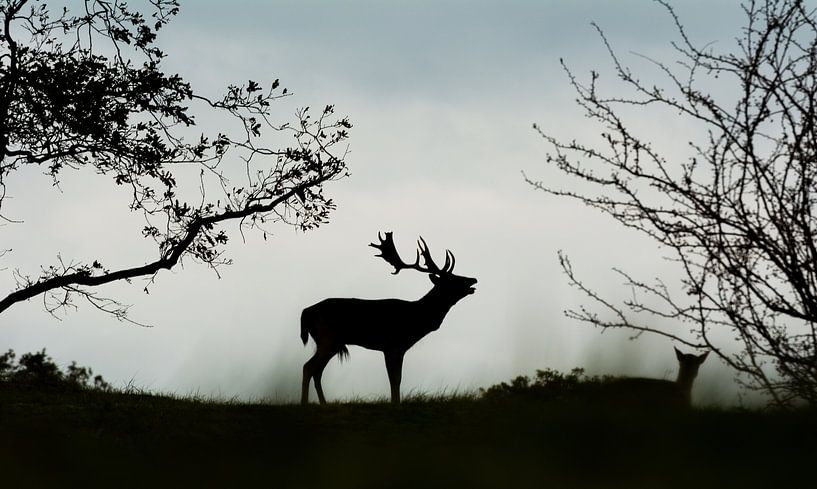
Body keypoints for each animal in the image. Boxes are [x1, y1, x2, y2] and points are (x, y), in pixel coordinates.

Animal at [300, 232, 478, 405]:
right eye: (452, 279)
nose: (473, 279)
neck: (417, 318)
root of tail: (306, 312)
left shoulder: (398, 348)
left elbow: (396, 379)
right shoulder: (392, 345)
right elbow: (395, 379)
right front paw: (395, 404)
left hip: (332, 343)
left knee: (317, 371)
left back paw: (323, 403)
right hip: (327, 337)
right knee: (308, 367)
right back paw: (304, 403)